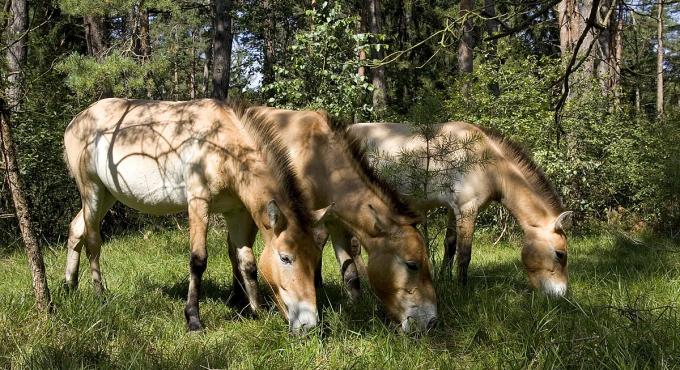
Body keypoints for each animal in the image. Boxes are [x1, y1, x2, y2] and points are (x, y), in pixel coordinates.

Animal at [63, 98, 330, 332]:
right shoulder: (198, 202)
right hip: (92, 189)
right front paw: (193, 319)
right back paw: (99, 295)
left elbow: (248, 262)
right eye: (285, 258)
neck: (224, 147)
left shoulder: (236, 212)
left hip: (107, 194)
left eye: (316, 257)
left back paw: (69, 286)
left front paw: (258, 312)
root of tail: (75, 121)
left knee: (76, 228)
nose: (309, 324)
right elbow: (198, 260)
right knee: (93, 241)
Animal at [228, 107, 438, 332]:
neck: (320, 160)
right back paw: (238, 299)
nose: (431, 321)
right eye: (412, 265)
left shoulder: (336, 223)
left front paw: (355, 306)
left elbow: (350, 272)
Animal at [342, 123, 572, 296]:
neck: (491, 166)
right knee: (354, 247)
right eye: (560, 254)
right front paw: (462, 289)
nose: (562, 294)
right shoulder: (468, 209)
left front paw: (445, 279)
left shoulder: (454, 210)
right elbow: (464, 254)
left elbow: (450, 246)